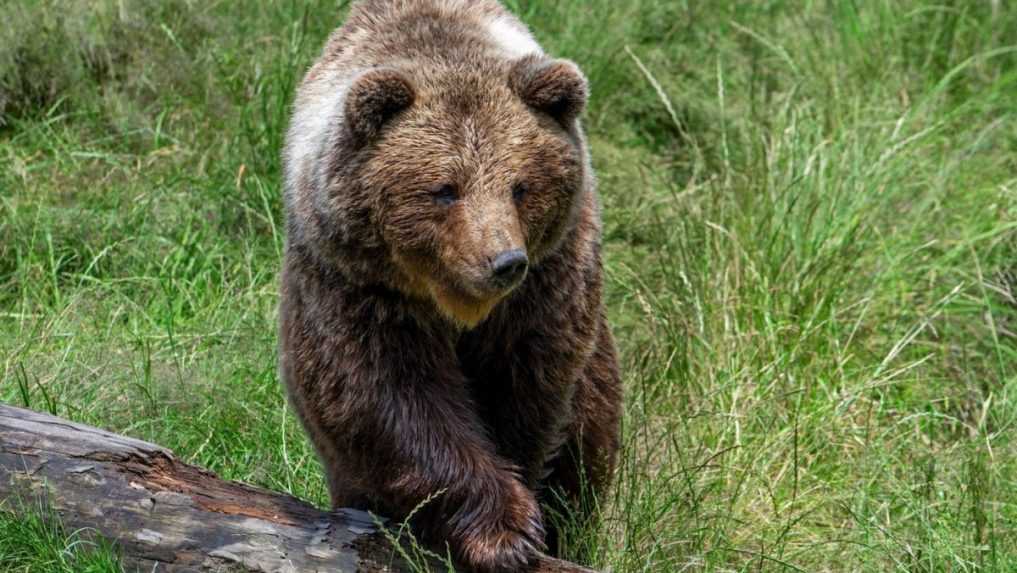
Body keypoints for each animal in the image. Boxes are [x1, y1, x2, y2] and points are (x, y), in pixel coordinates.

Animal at [280, 2, 618, 569]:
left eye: (521, 187)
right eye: (445, 189)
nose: (504, 262)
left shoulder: (547, 284)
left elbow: (529, 388)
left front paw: (525, 521)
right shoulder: (355, 285)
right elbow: (387, 395)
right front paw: (504, 531)